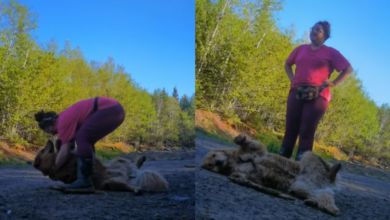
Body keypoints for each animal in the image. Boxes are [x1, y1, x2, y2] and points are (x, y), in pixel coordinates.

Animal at [29, 139, 170, 194]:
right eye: (43, 150)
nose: (49, 140)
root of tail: (132, 177)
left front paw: (59, 142)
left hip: (118, 161)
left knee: (135, 165)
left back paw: (141, 160)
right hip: (113, 182)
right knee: (136, 186)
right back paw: (137, 189)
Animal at [201, 133, 342, 216]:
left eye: (213, 155)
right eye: (209, 165)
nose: (217, 163)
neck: (234, 160)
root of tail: (325, 185)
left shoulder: (258, 150)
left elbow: (249, 143)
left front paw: (241, 138)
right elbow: (246, 175)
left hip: (308, 158)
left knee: (325, 166)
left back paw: (335, 168)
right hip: (301, 187)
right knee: (324, 199)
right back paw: (318, 204)